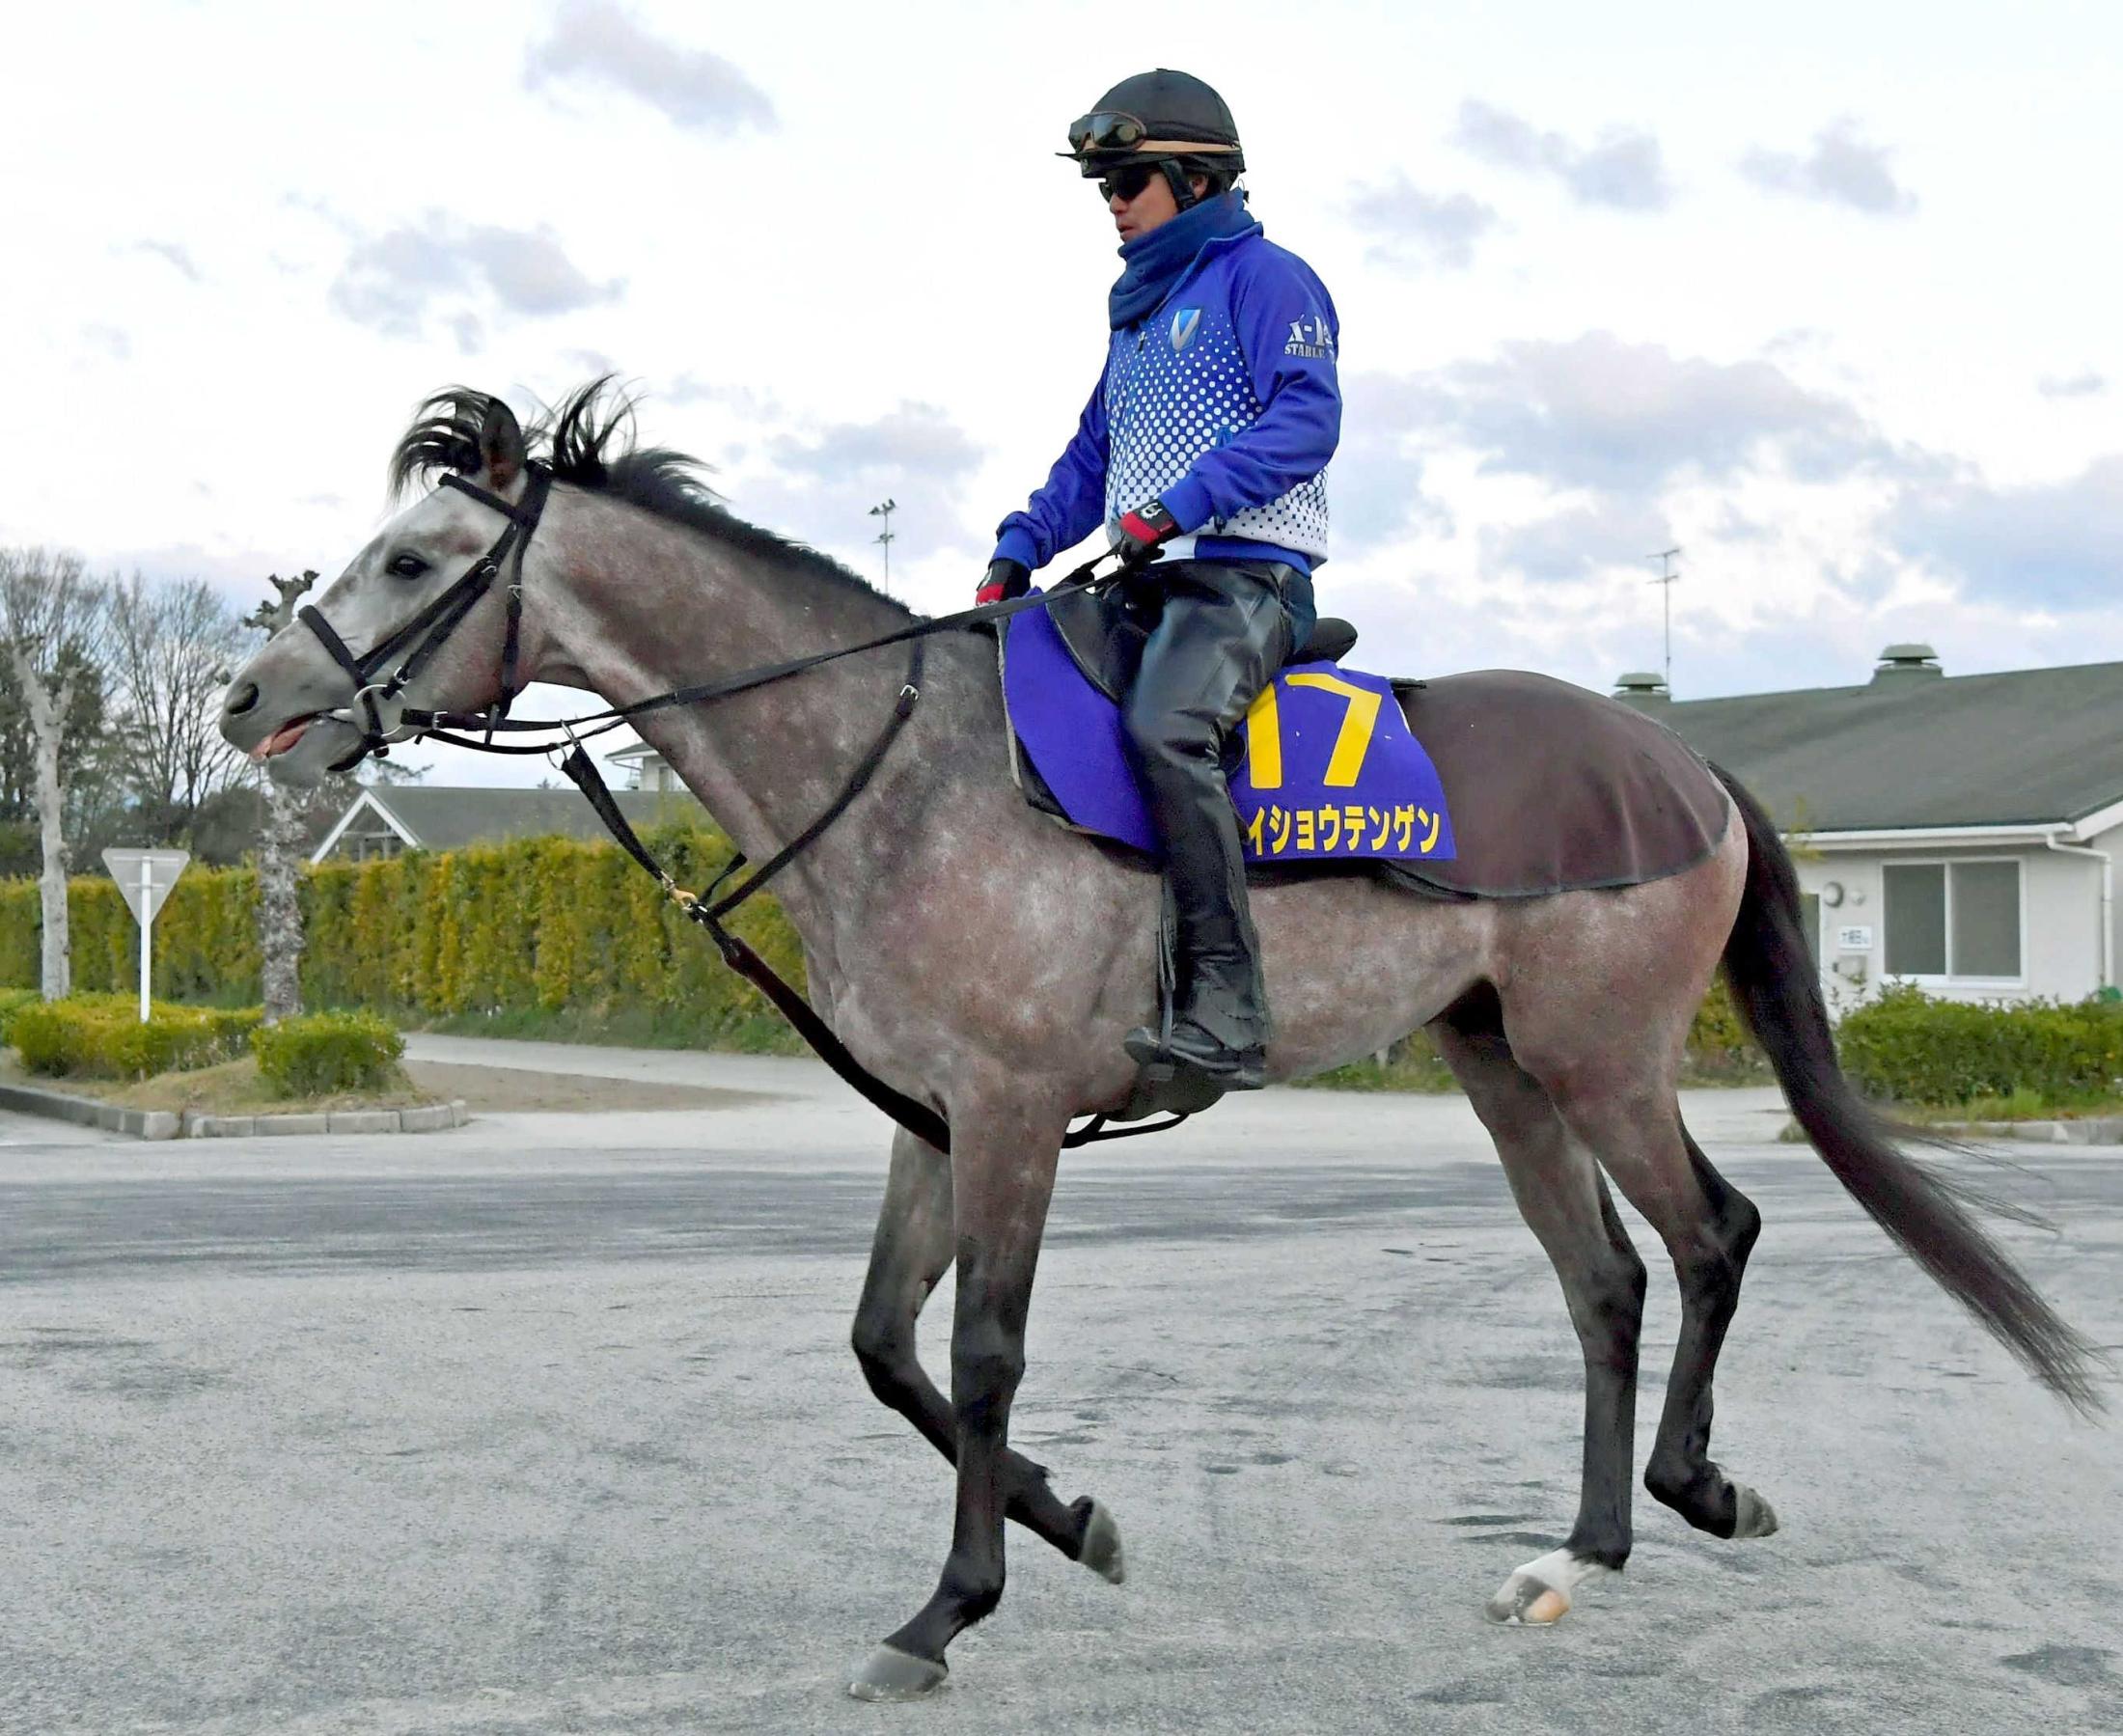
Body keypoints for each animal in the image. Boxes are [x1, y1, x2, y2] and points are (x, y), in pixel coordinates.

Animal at [224, 386, 2097, 1697]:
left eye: (411, 558)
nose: (250, 701)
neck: (901, 765)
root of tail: (1686, 764)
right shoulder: (932, 1110)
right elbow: (884, 1346)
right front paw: (1075, 1521)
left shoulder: (1013, 1111)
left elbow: (979, 1353)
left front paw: (949, 1604)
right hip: (1503, 1065)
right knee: (1609, 1281)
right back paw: (1582, 1549)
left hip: (1606, 1058)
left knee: (1712, 1235)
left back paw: (1692, 1494)